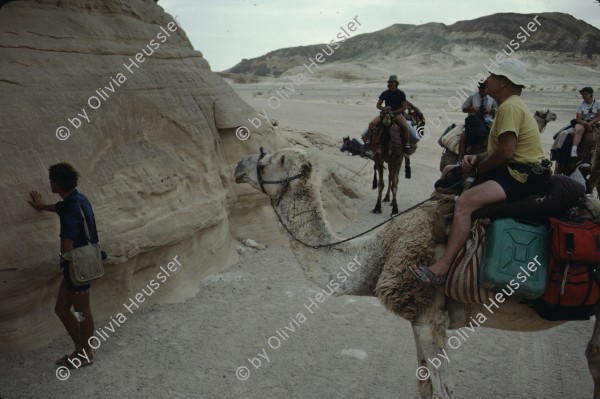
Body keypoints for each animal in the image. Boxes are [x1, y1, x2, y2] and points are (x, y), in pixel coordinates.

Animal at [233, 147, 600, 399]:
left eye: (266, 161)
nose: (238, 166)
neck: (381, 251)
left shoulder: (429, 315)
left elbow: (442, 389)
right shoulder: (419, 319)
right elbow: (424, 385)